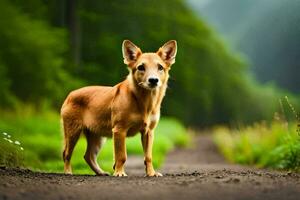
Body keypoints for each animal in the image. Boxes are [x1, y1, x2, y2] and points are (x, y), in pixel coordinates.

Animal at [61, 39, 177, 177]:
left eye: (160, 67)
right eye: (141, 67)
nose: (153, 80)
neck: (144, 102)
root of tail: (70, 94)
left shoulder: (149, 132)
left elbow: (148, 156)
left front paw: (151, 173)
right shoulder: (119, 130)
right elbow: (121, 156)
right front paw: (119, 172)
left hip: (97, 136)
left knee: (88, 156)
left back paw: (100, 172)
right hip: (72, 131)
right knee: (66, 153)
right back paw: (68, 171)